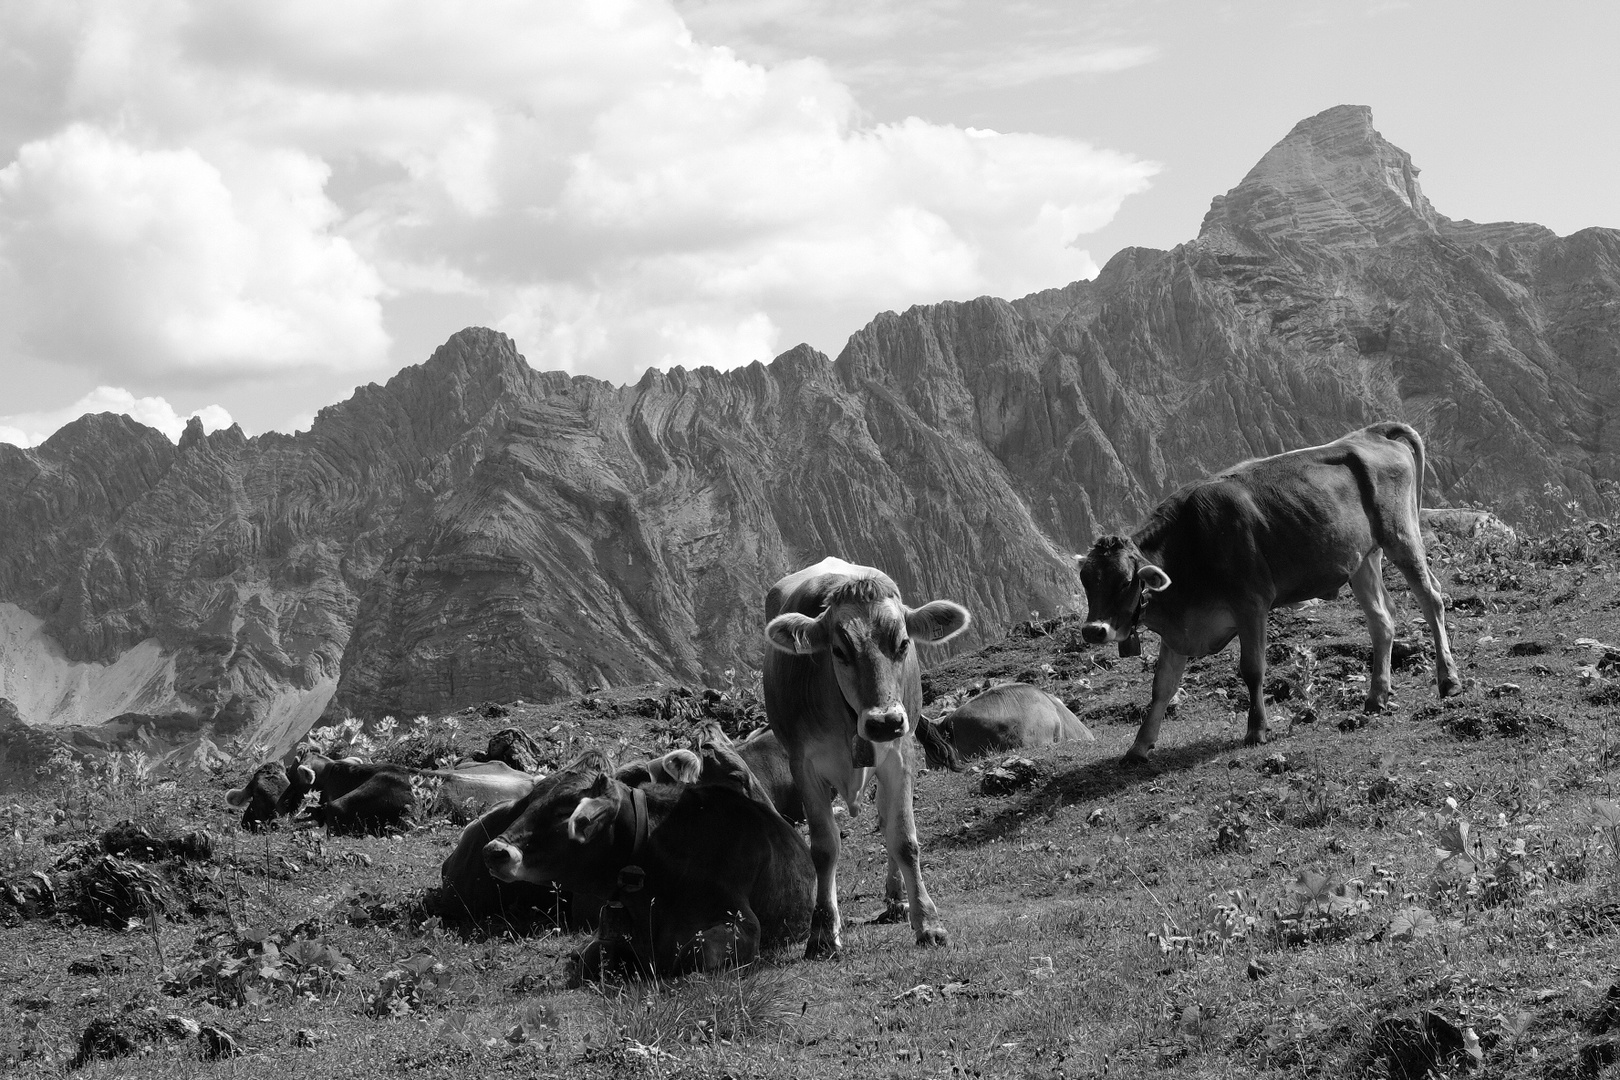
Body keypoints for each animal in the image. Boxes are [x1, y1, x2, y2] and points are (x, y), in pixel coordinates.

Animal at [476, 744, 810, 990]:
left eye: (565, 810)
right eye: (532, 800)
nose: (494, 851)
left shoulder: (744, 924)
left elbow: (695, 951)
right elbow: (593, 955)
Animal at [761, 563, 965, 958]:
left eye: (903, 644)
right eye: (839, 650)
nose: (884, 722)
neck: (849, 719)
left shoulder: (900, 756)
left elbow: (904, 839)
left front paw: (928, 923)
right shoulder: (803, 766)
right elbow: (824, 848)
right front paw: (823, 933)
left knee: (887, 822)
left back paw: (898, 899)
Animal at [1075, 427, 1470, 764]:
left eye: (1126, 581)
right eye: (1086, 581)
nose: (1093, 630)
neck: (1189, 547)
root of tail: (1371, 432)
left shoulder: (1251, 605)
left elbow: (1252, 669)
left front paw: (1256, 730)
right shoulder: (1180, 629)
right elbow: (1162, 687)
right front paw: (1139, 747)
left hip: (1401, 535)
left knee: (1432, 598)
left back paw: (1448, 681)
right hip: (1361, 560)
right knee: (1382, 621)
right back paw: (1376, 697)